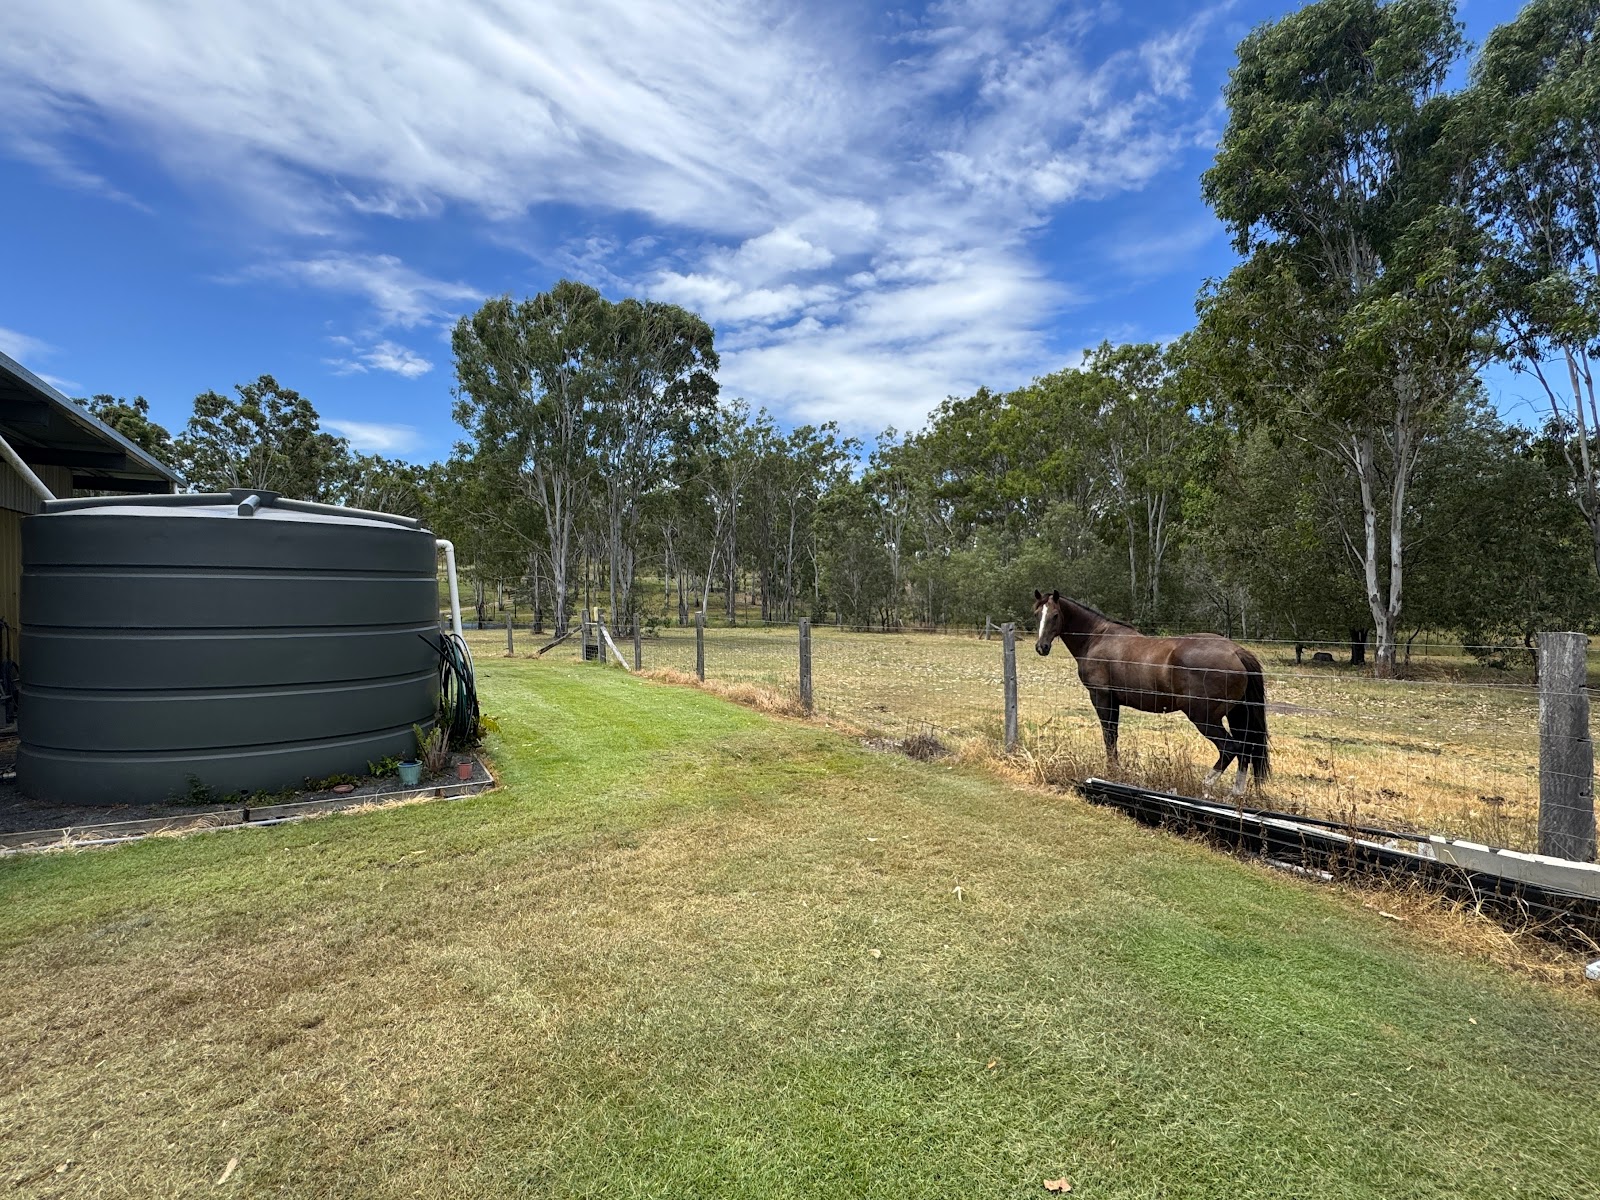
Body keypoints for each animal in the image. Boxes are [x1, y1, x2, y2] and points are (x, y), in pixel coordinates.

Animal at [1032, 589, 1270, 796]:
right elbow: (1113, 736)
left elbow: (1109, 736)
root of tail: (1236, 651)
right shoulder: (1114, 702)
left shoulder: (1102, 698)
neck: (1096, 637)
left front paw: (1111, 771)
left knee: (1230, 748)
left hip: (1204, 718)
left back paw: (1206, 785)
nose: (1041, 647)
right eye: (1037, 614)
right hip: (1236, 714)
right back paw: (1236, 793)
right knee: (1245, 749)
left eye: (1055, 615)